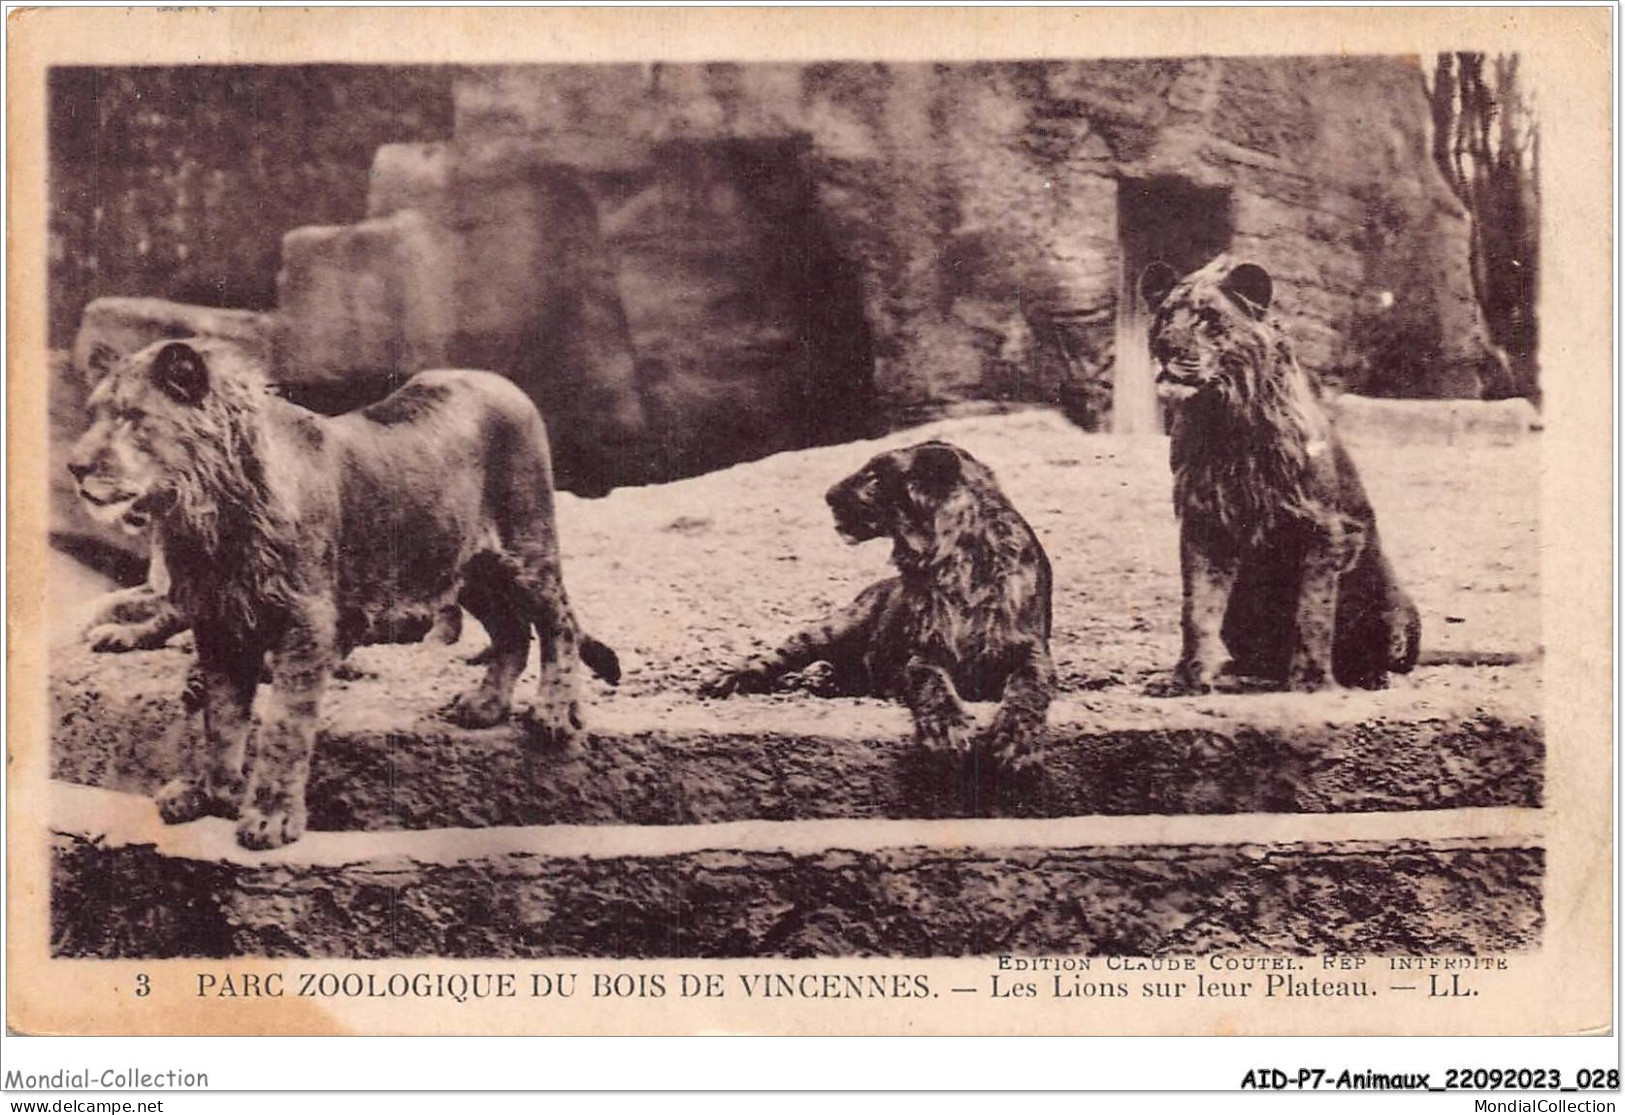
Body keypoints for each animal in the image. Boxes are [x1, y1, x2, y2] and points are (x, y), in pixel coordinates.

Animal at [68, 338, 614, 845]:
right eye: (95, 415)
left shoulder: (307, 624)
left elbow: (284, 728)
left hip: (525, 547)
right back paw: (484, 707)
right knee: (512, 633)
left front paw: (270, 818)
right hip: (464, 566)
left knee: (560, 620)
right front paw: (210, 794)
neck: (207, 513)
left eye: (132, 417)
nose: (74, 467)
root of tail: (502, 382)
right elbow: (221, 721)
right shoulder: (219, 623)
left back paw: (552, 713)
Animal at [695, 442, 1053, 773]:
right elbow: (934, 687)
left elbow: (1026, 692)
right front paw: (948, 733)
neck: (958, 562)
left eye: (876, 476)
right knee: (770, 658)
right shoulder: (924, 654)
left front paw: (1015, 745)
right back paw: (724, 681)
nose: (827, 495)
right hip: (828, 630)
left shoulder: (1032, 651)